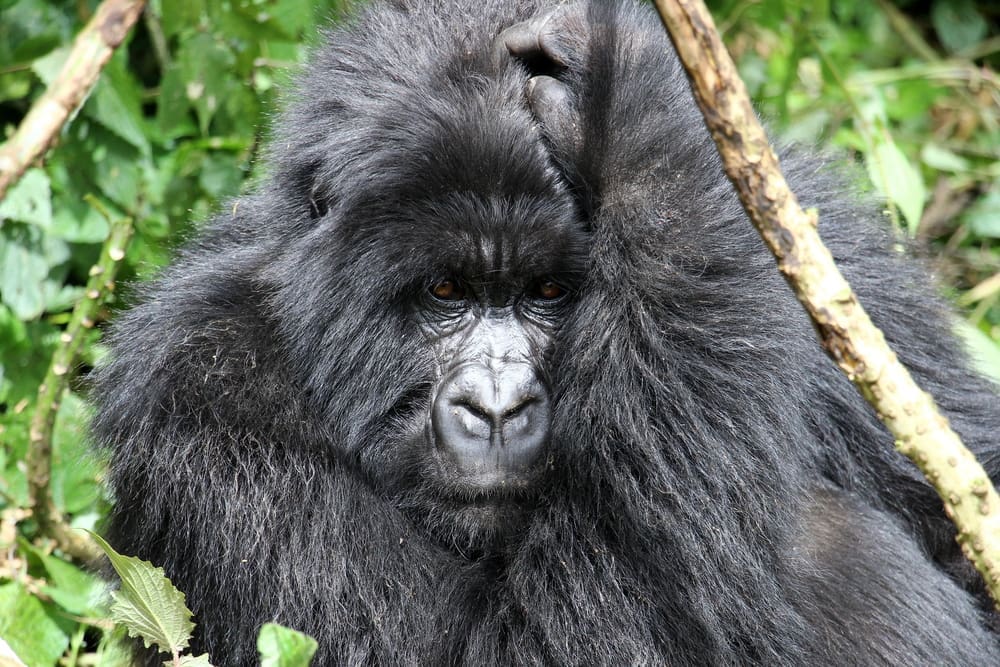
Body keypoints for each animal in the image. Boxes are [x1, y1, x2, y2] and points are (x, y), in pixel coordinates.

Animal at [94, 1, 1000, 667]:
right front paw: (627, 103)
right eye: (446, 290)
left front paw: (625, 95)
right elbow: (504, 646)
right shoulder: (199, 389)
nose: (498, 409)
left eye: (552, 292)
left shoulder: (838, 264)